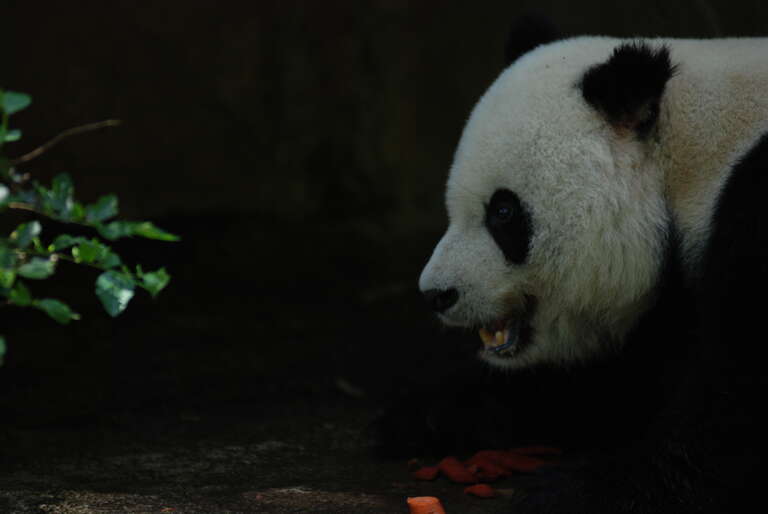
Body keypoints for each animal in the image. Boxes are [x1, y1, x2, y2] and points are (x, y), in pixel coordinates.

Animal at [378, 23, 768, 514]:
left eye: (503, 212)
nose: (437, 294)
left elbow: (734, 408)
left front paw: (576, 490)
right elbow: (616, 387)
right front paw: (426, 412)